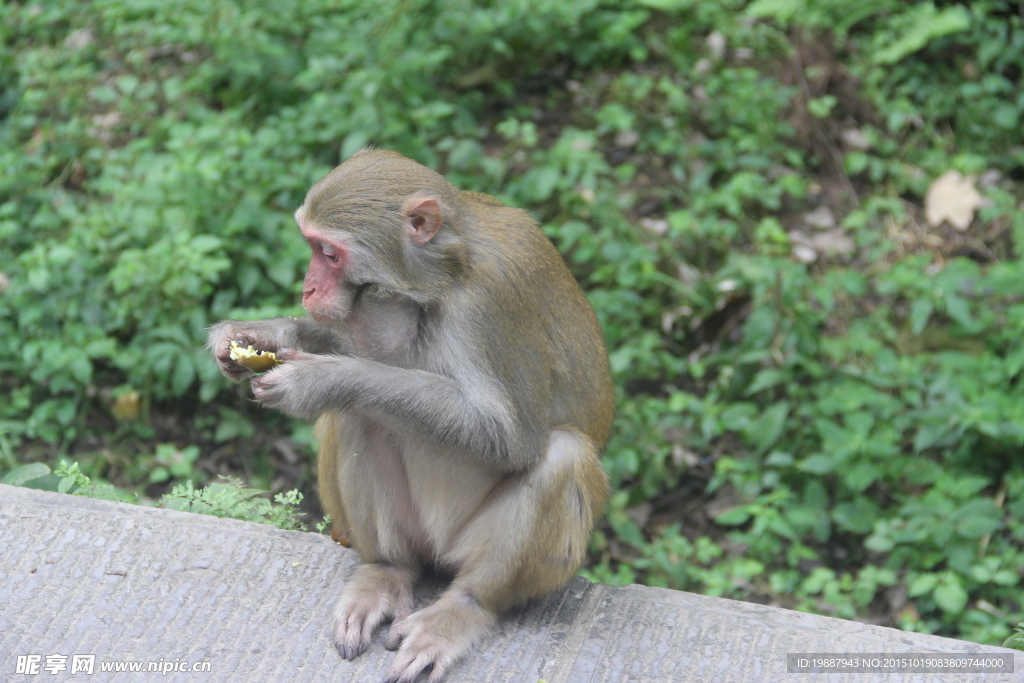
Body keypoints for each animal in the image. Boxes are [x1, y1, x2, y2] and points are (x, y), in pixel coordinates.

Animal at [203, 150, 610, 683]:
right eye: (311, 247)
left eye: (329, 253)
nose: (307, 289)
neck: (443, 277)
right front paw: (258, 335)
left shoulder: (491, 302)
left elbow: (510, 437)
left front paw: (319, 381)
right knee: (363, 417)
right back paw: (386, 571)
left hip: (474, 547)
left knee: (561, 454)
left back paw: (464, 607)